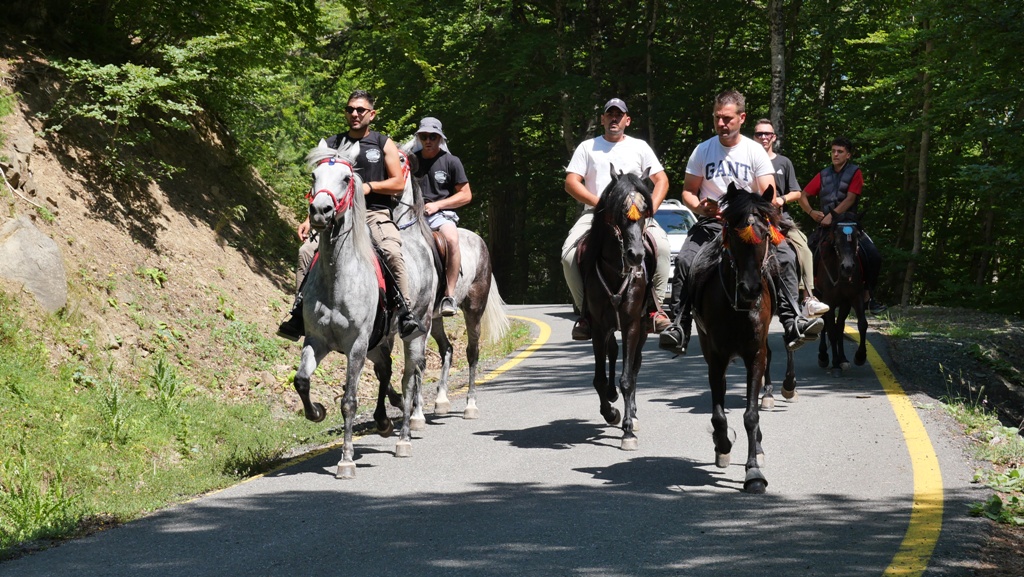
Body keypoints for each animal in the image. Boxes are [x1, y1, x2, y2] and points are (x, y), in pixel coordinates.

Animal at [291, 140, 437, 479]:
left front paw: (346, 460)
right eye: (314, 176)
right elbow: (302, 380)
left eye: (346, 178)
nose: (320, 211)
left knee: (409, 379)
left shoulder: (356, 345)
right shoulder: (316, 341)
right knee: (386, 371)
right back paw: (384, 421)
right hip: (378, 341)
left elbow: (349, 400)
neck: (338, 276)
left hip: (415, 334)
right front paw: (316, 411)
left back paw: (403, 438)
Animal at [392, 145, 511, 420]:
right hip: (436, 319)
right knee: (447, 348)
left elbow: (418, 362)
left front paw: (416, 413)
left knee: (472, 352)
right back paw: (441, 400)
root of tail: (480, 241)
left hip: (473, 309)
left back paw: (470, 405)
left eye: (401, 158)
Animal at [579, 167, 654, 451]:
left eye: (644, 212)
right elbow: (599, 378)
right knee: (612, 353)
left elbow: (628, 378)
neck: (615, 269)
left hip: (642, 328)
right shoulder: (599, 327)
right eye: (620, 211)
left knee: (635, 366)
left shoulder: (632, 324)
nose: (636, 256)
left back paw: (633, 414)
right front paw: (610, 413)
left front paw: (628, 430)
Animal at [688, 182, 784, 493]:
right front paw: (723, 446)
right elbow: (719, 412)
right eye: (732, 232)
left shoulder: (755, 354)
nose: (750, 289)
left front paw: (753, 472)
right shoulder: (716, 355)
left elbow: (751, 414)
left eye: (764, 234)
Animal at [814, 214, 868, 370]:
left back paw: (842, 358)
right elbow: (831, 329)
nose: (848, 267)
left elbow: (861, 324)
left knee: (839, 326)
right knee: (825, 324)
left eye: (857, 236)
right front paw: (835, 362)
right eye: (836, 237)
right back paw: (823, 356)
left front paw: (859, 356)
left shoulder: (853, 298)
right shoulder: (828, 301)